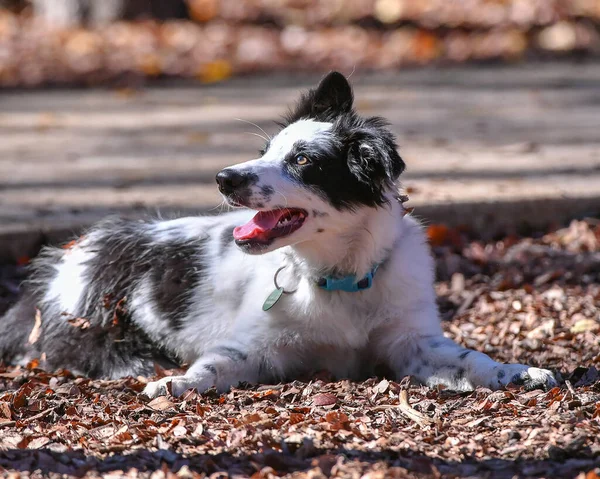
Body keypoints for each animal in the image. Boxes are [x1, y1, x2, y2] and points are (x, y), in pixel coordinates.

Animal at [0, 72, 556, 398]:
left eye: (304, 160)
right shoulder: (255, 348)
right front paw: (178, 382)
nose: (223, 178)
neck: (337, 277)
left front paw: (517, 371)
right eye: (265, 151)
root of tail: (62, 261)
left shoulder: (412, 343)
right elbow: (213, 368)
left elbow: (470, 358)